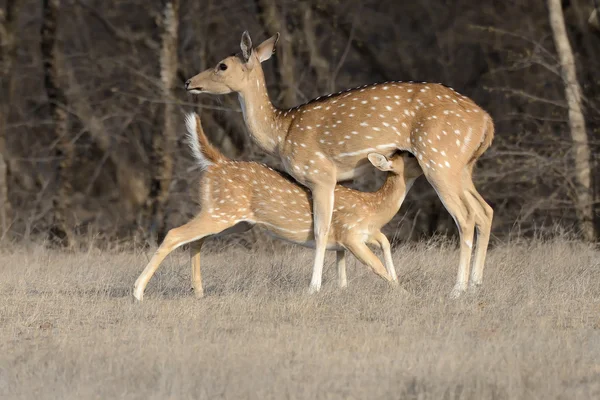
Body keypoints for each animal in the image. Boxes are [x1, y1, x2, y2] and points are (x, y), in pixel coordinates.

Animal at [131, 112, 422, 300]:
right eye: (409, 155)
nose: (423, 155)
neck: (374, 208)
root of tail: (217, 163)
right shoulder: (350, 233)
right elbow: (376, 265)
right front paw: (406, 294)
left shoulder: (352, 237)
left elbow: (379, 246)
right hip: (222, 211)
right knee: (174, 234)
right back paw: (138, 292)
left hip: (230, 217)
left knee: (195, 241)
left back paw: (199, 292)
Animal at [185, 31, 494, 296]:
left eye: (222, 65)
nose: (188, 82)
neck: (281, 134)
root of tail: (486, 121)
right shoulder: (344, 178)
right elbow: (340, 239)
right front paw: (341, 285)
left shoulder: (320, 173)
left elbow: (321, 230)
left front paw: (315, 287)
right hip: (462, 166)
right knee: (484, 210)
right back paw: (476, 283)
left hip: (439, 158)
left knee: (465, 216)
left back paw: (458, 289)